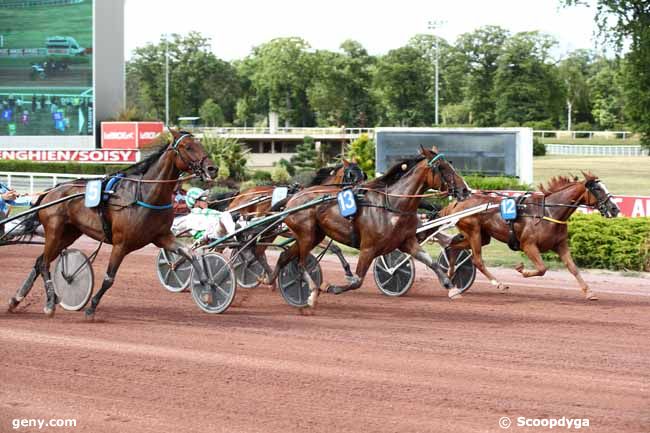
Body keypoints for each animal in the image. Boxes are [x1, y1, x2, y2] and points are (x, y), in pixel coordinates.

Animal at [6, 128, 218, 318]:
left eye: (200, 144)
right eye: (188, 147)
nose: (212, 169)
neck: (145, 195)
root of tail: (51, 191)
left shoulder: (163, 237)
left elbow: (190, 253)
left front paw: (208, 289)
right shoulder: (121, 244)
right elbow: (109, 278)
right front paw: (91, 308)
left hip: (69, 234)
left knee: (39, 261)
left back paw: (16, 299)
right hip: (54, 231)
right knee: (43, 264)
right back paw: (50, 303)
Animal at [266, 146, 468, 310]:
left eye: (450, 164)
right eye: (442, 167)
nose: (465, 190)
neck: (392, 205)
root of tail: (292, 198)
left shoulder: (407, 242)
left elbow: (432, 262)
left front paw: (452, 287)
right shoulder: (368, 248)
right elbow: (357, 281)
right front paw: (333, 287)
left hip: (313, 236)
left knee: (285, 257)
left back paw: (270, 280)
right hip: (306, 235)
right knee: (300, 264)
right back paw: (312, 292)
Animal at [440, 170, 616, 298]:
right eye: (598, 189)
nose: (614, 209)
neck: (548, 212)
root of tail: (458, 202)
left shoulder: (560, 245)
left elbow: (573, 268)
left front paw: (589, 292)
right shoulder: (528, 245)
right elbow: (542, 268)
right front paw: (521, 270)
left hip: (482, 236)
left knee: (452, 247)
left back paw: (450, 278)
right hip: (474, 232)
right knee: (477, 260)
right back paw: (498, 284)